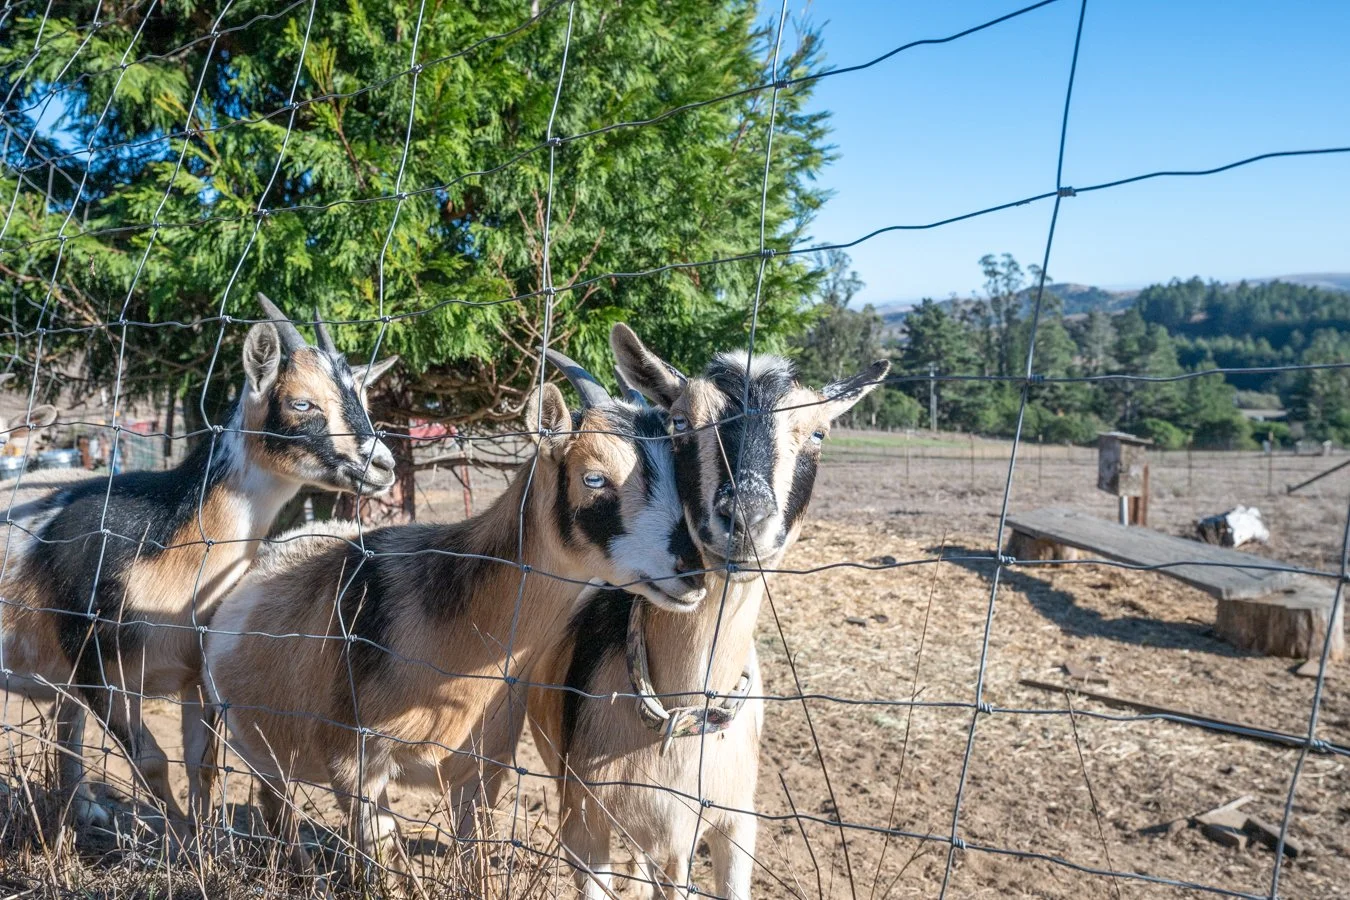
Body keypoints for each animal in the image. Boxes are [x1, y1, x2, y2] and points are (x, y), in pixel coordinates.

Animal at [0, 294, 397, 830]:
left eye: (365, 402)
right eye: (301, 402)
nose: (383, 466)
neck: (166, 545)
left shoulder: (195, 673)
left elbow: (201, 762)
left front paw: (205, 838)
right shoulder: (97, 668)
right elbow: (151, 760)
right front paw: (178, 834)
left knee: (68, 725)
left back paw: (84, 809)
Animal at [199, 350, 706, 866]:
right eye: (594, 477)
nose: (693, 570)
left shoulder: (483, 770)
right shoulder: (355, 768)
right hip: (253, 744)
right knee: (274, 804)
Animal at [526, 324, 889, 898]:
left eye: (818, 434)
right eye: (681, 421)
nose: (744, 518)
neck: (684, 712)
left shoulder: (735, 822)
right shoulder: (584, 822)